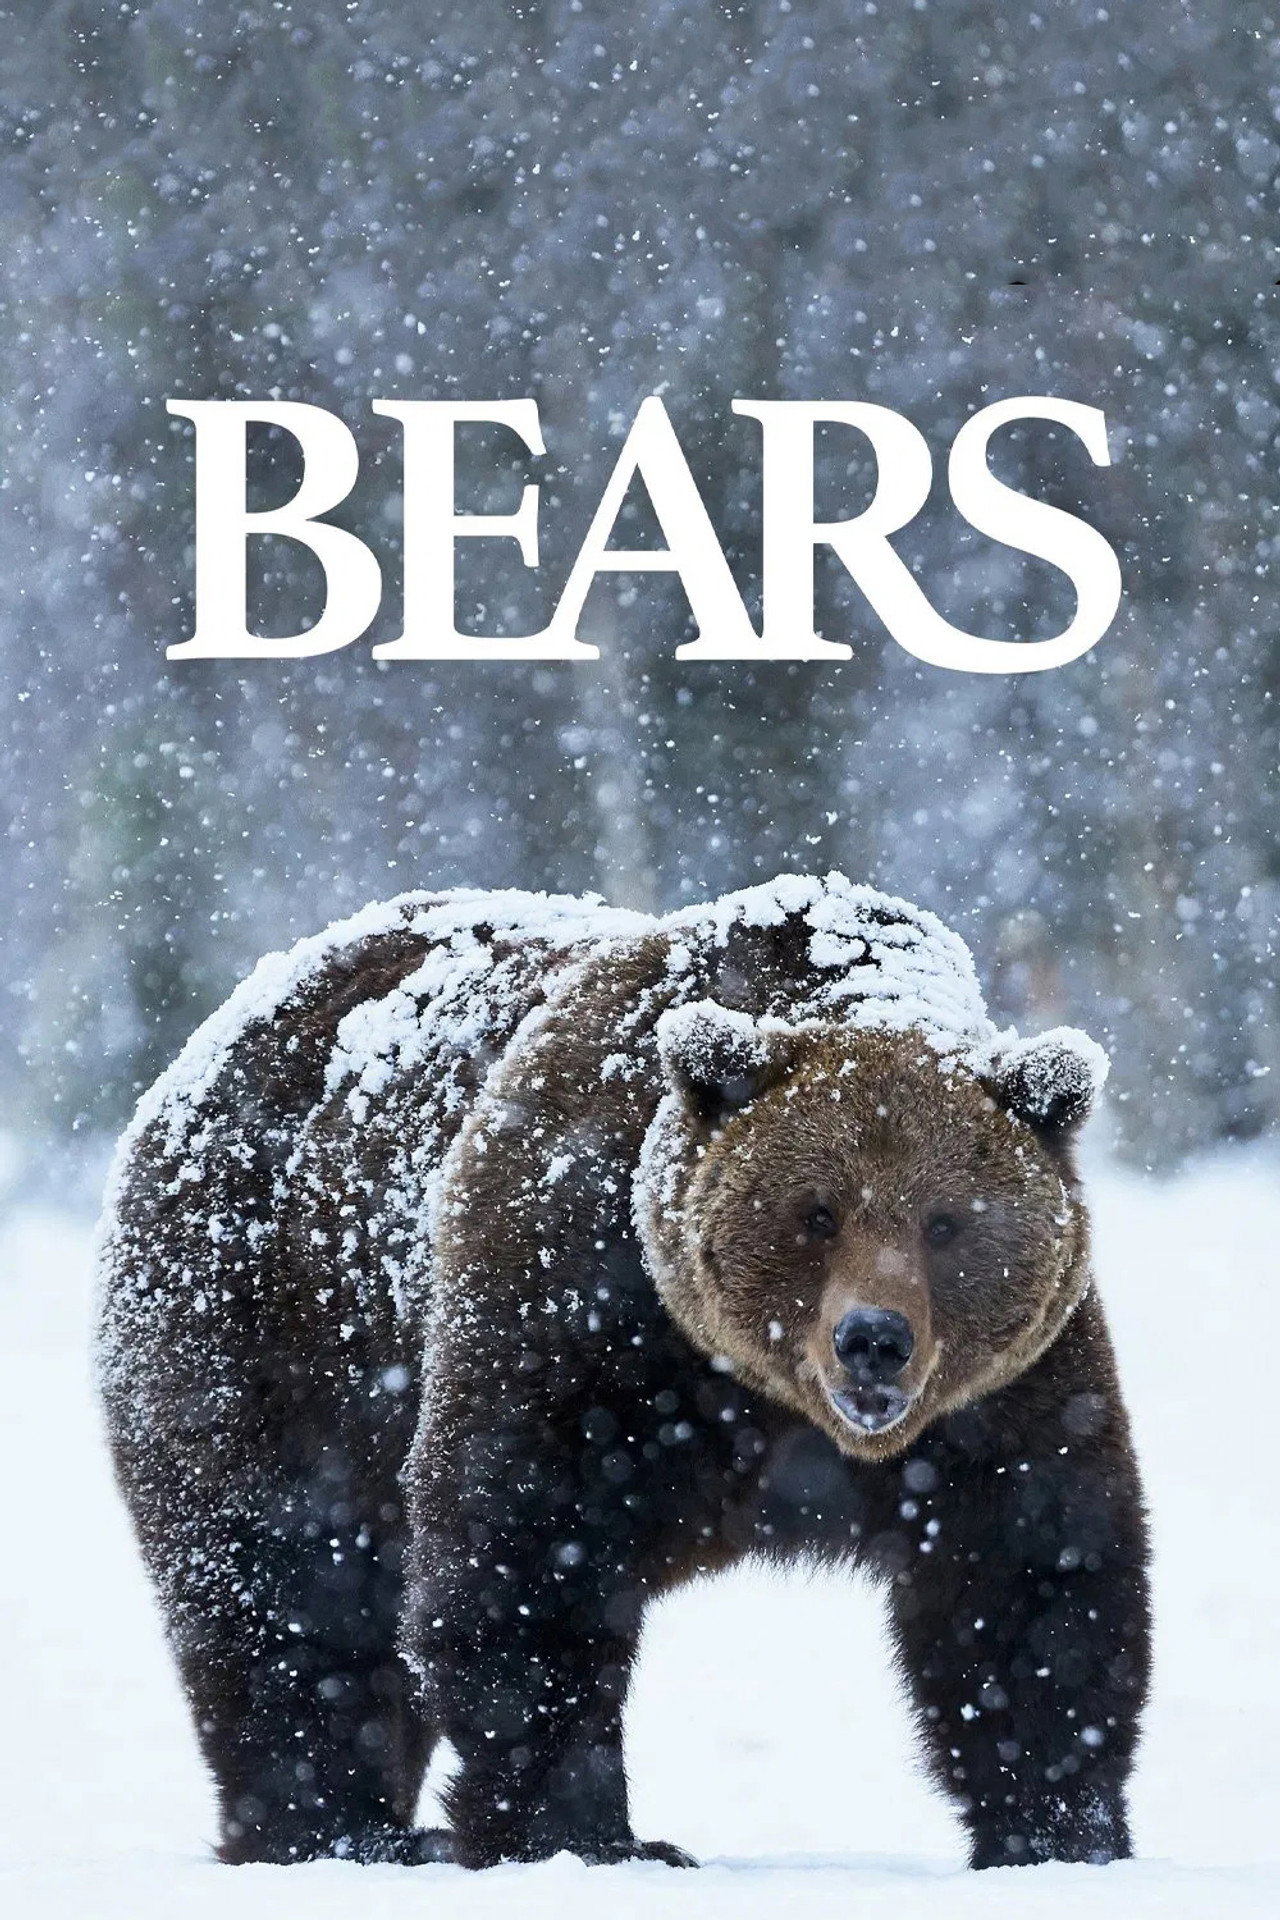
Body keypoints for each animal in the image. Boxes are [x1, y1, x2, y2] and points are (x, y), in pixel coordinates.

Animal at [95, 874, 1150, 1872]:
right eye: (816, 1213)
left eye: (945, 1222)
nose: (873, 1339)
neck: (765, 1399)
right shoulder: (579, 1309)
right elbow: (525, 1557)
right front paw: (588, 1833)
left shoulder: (1005, 1394)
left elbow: (1032, 1575)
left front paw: (1058, 1830)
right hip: (267, 1329)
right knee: (287, 1586)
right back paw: (337, 1829)